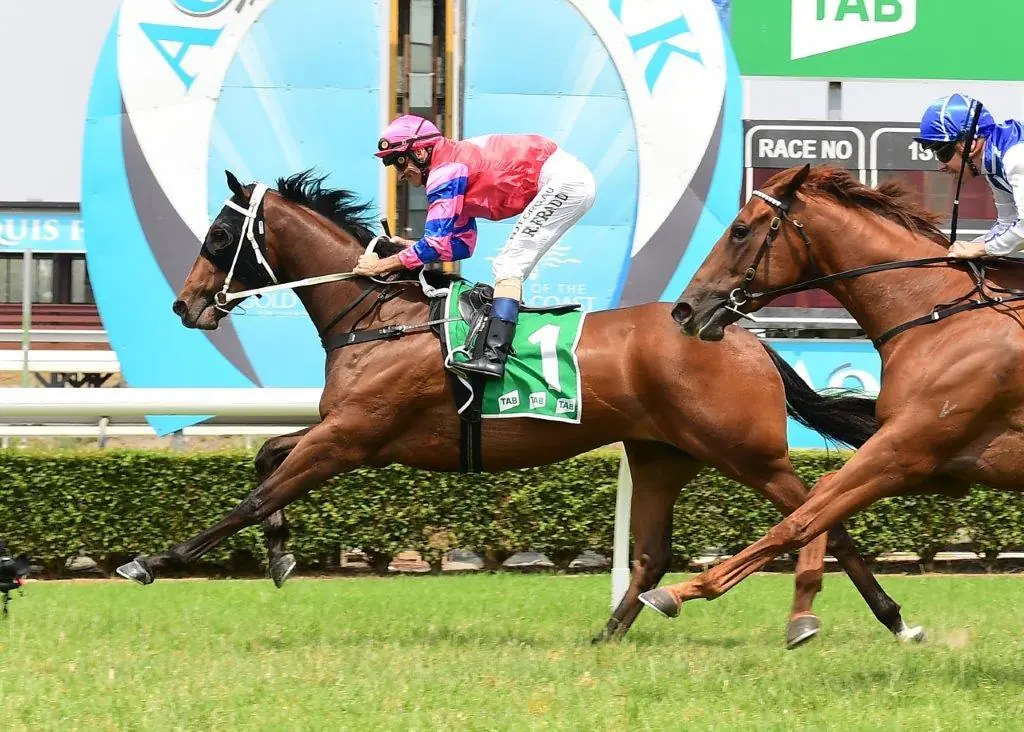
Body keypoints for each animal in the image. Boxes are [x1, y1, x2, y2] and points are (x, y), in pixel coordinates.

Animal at [116, 169, 923, 648]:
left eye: (221, 235)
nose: (185, 304)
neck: (378, 315)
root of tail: (737, 332)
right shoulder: (345, 431)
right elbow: (264, 457)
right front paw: (283, 552)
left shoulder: (351, 438)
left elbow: (251, 497)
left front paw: (153, 561)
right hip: (662, 455)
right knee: (653, 552)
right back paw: (607, 638)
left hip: (745, 452)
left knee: (821, 516)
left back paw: (890, 619)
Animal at [639, 163, 1024, 622]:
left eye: (739, 229)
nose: (684, 309)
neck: (936, 313)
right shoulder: (940, 465)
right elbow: (819, 499)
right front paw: (809, 608)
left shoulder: (905, 450)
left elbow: (796, 522)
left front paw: (677, 591)